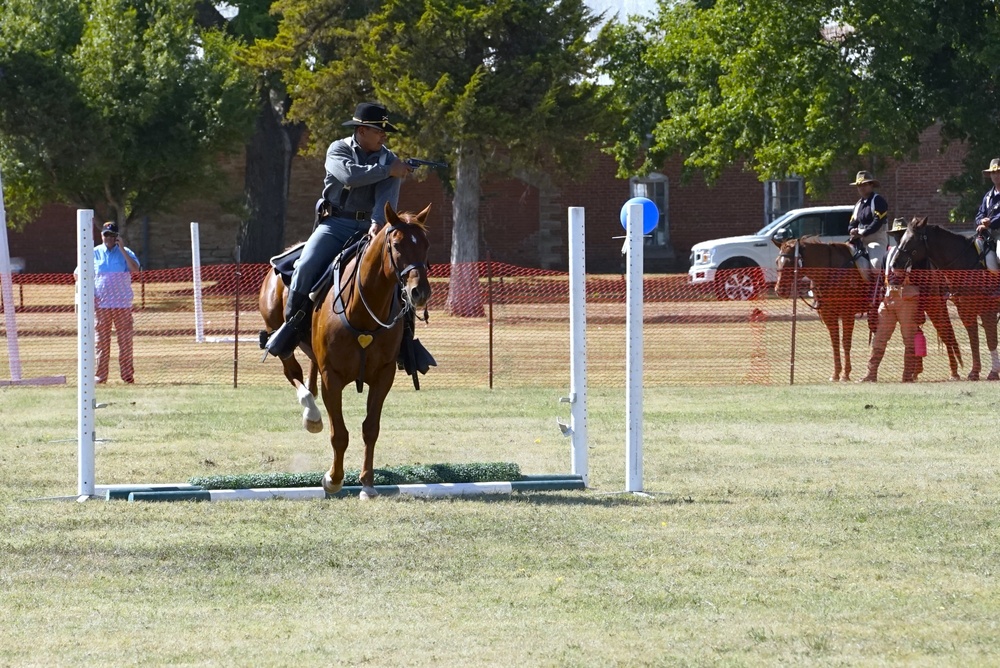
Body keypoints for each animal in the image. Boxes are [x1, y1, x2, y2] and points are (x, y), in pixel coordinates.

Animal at [260, 202, 432, 496]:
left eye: (425, 244)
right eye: (397, 245)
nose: (419, 292)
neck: (362, 310)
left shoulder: (383, 376)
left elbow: (370, 428)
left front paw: (367, 484)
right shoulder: (333, 377)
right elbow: (339, 433)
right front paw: (334, 479)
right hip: (278, 335)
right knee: (292, 372)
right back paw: (311, 415)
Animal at [772, 235, 960, 380]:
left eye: (790, 262)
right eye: (776, 261)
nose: (779, 290)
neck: (832, 271)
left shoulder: (847, 314)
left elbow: (845, 342)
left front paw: (845, 374)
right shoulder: (829, 315)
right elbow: (835, 343)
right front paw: (836, 374)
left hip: (934, 306)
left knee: (946, 332)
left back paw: (954, 371)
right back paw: (916, 372)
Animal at [892, 217, 1000, 378]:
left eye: (911, 240)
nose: (894, 263)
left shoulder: (988, 311)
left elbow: (990, 339)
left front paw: (993, 372)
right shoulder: (965, 310)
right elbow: (973, 339)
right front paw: (974, 371)